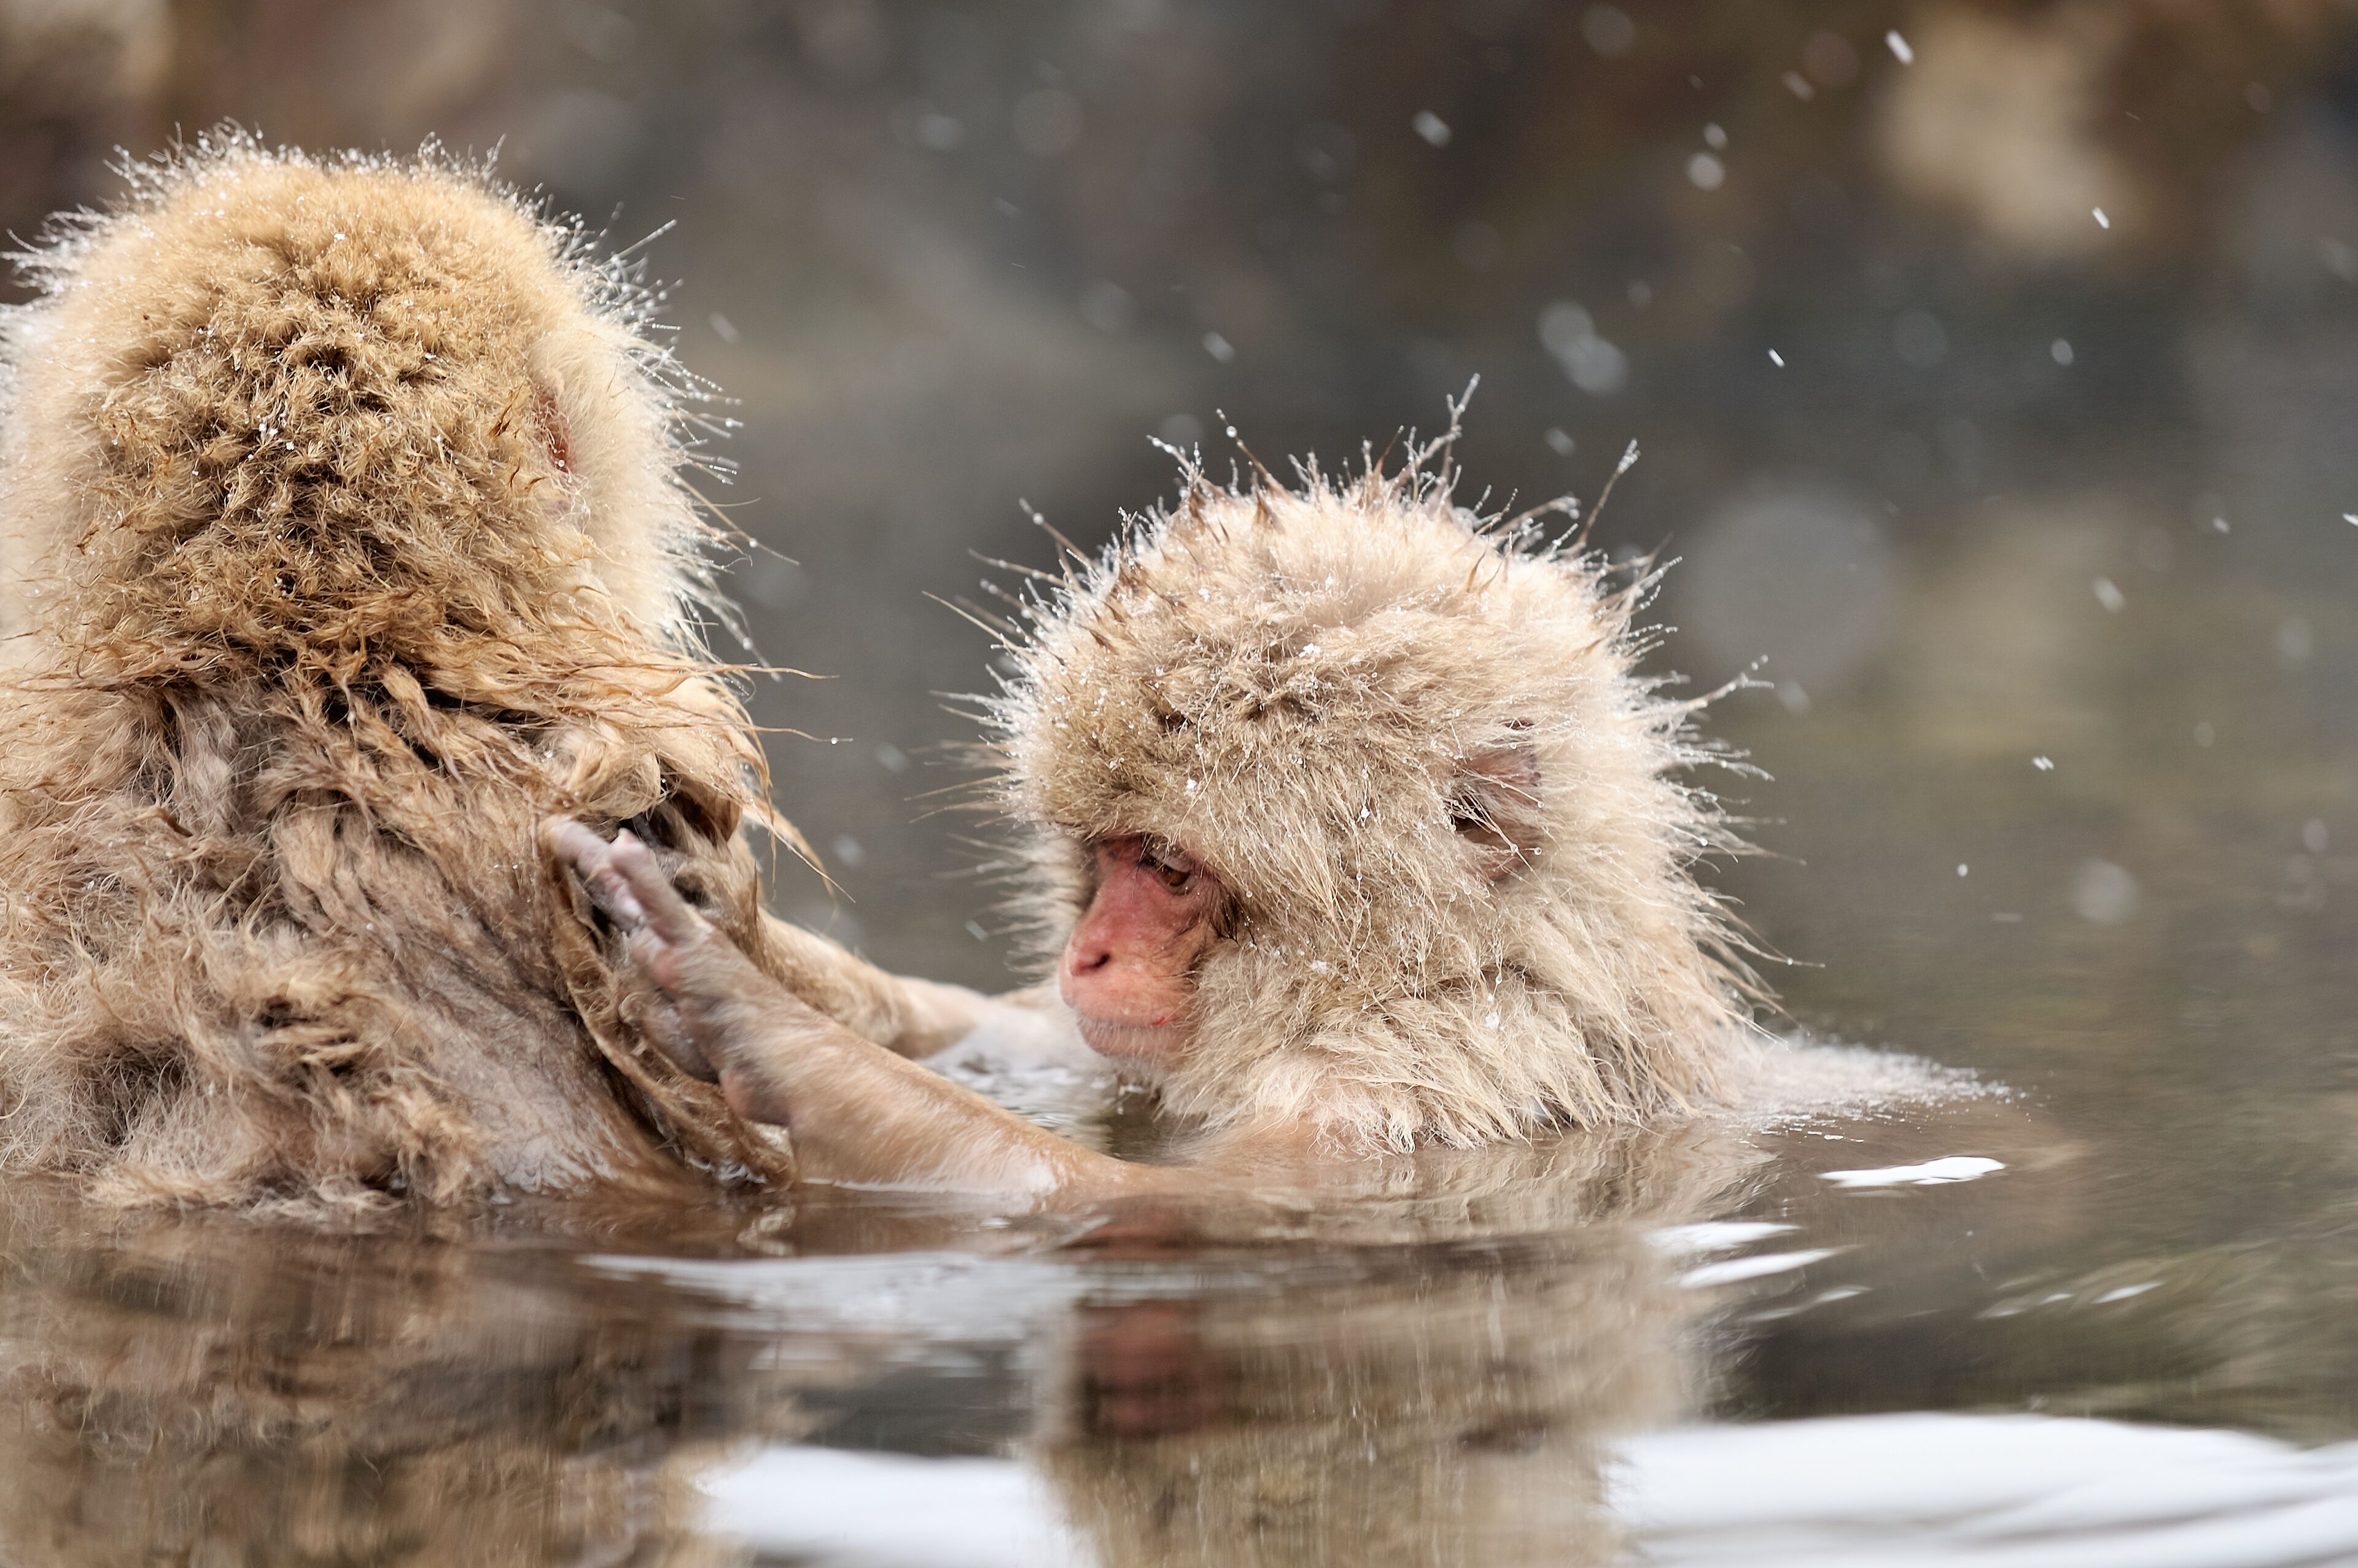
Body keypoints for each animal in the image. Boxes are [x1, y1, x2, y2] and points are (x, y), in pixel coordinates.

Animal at [554, 441, 1765, 1201]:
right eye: (1106, 856)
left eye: (1170, 868)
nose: (1088, 952)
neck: (1448, 969)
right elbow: (1028, 1034)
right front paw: (735, 924)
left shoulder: (1436, 1068)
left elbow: (1138, 1202)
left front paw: (754, 1020)